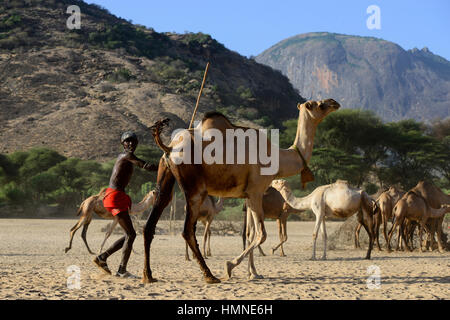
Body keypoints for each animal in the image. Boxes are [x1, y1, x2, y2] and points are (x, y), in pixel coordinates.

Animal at [145, 98, 342, 282]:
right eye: (316, 104)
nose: (334, 102)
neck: (277, 158)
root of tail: (170, 147)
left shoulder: (249, 195)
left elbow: (250, 233)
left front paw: (253, 273)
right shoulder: (256, 191)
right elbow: (261, 234)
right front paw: (230, 266)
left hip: (165, 172)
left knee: (153, 219)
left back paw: (148, 275)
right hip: (195, 187)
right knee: (187, 230)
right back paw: (210, 275)